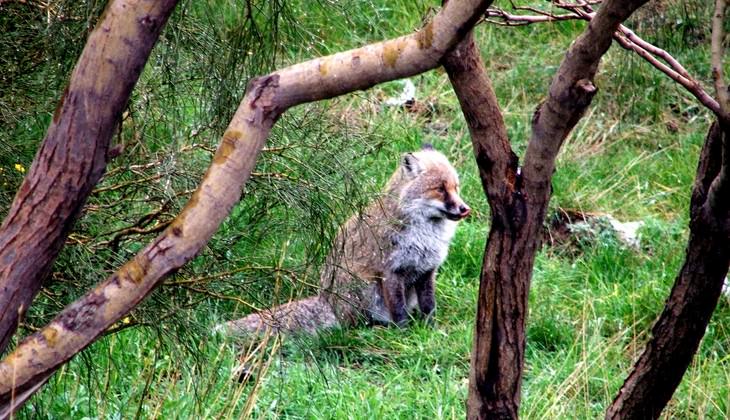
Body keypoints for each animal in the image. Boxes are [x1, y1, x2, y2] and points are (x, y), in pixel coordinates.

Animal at [222, 146, 470, 336]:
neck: (425, 235)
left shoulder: (427, 270)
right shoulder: (391, 271)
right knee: (353, 325)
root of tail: (326, 301)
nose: (464, 209)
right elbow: (399, 311)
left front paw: (431, 331)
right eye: (440, 189)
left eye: (456, 187)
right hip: (366, 289)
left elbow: (429, 307)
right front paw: (404, 334)